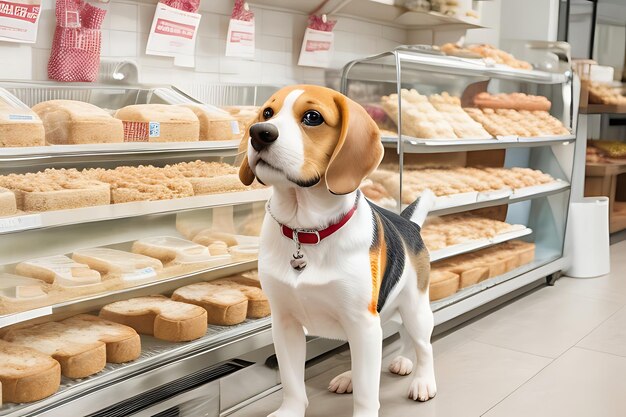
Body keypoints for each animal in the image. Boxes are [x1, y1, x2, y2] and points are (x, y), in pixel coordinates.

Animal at [238, 85, 434, 416]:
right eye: (267, 112)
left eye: (312, 117)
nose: (259, 133)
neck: (305, 231)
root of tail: (409, 224)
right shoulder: (285, 322)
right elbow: (292, 381)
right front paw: (291, 410)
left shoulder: (363, 322)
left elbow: (367, 392)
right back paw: (368, 371)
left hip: (415, 308)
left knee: (423, 345)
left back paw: (422, 380)